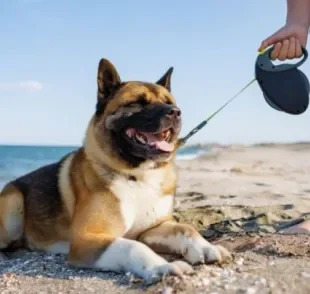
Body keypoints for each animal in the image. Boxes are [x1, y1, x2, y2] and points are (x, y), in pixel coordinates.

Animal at [0, 58, 231, 284]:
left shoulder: (152, 229)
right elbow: (133, 247)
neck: (137, 175)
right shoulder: (87, 239)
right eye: (137, 103)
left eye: (169, 103)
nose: (174, 112)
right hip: (14, 204)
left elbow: (185, 228)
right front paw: (161, 266)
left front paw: (205, 247)